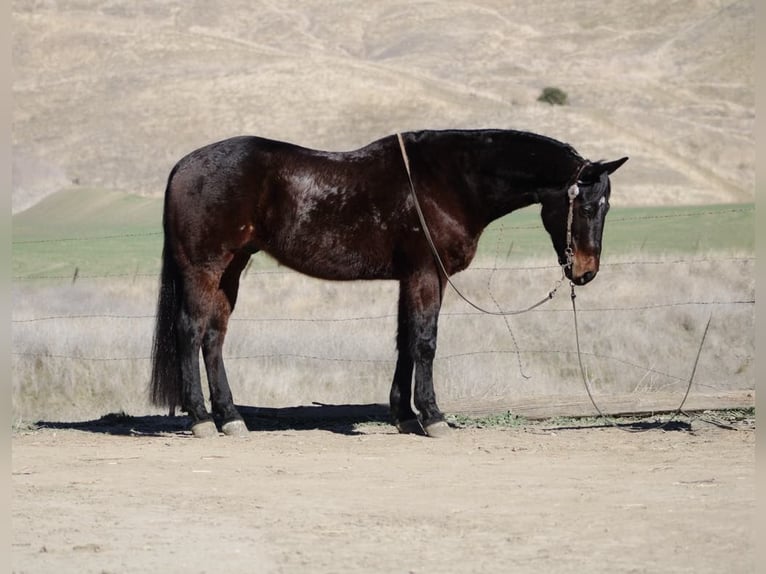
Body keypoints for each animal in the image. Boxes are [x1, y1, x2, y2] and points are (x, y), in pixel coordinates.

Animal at [150, 129, 632, 436]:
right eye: (588, 206)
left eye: (607, 207)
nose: (585, 271)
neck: (448, 181)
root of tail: (184, 166)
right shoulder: (426, 274)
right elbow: (425, 341)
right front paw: (433, 416)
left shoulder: (412, 278)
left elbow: (405, 340)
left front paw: (405, 415)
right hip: (204, 269)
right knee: (190, 332)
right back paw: (201, 419)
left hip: (230, 270)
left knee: (214, 338)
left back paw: (230, 417)